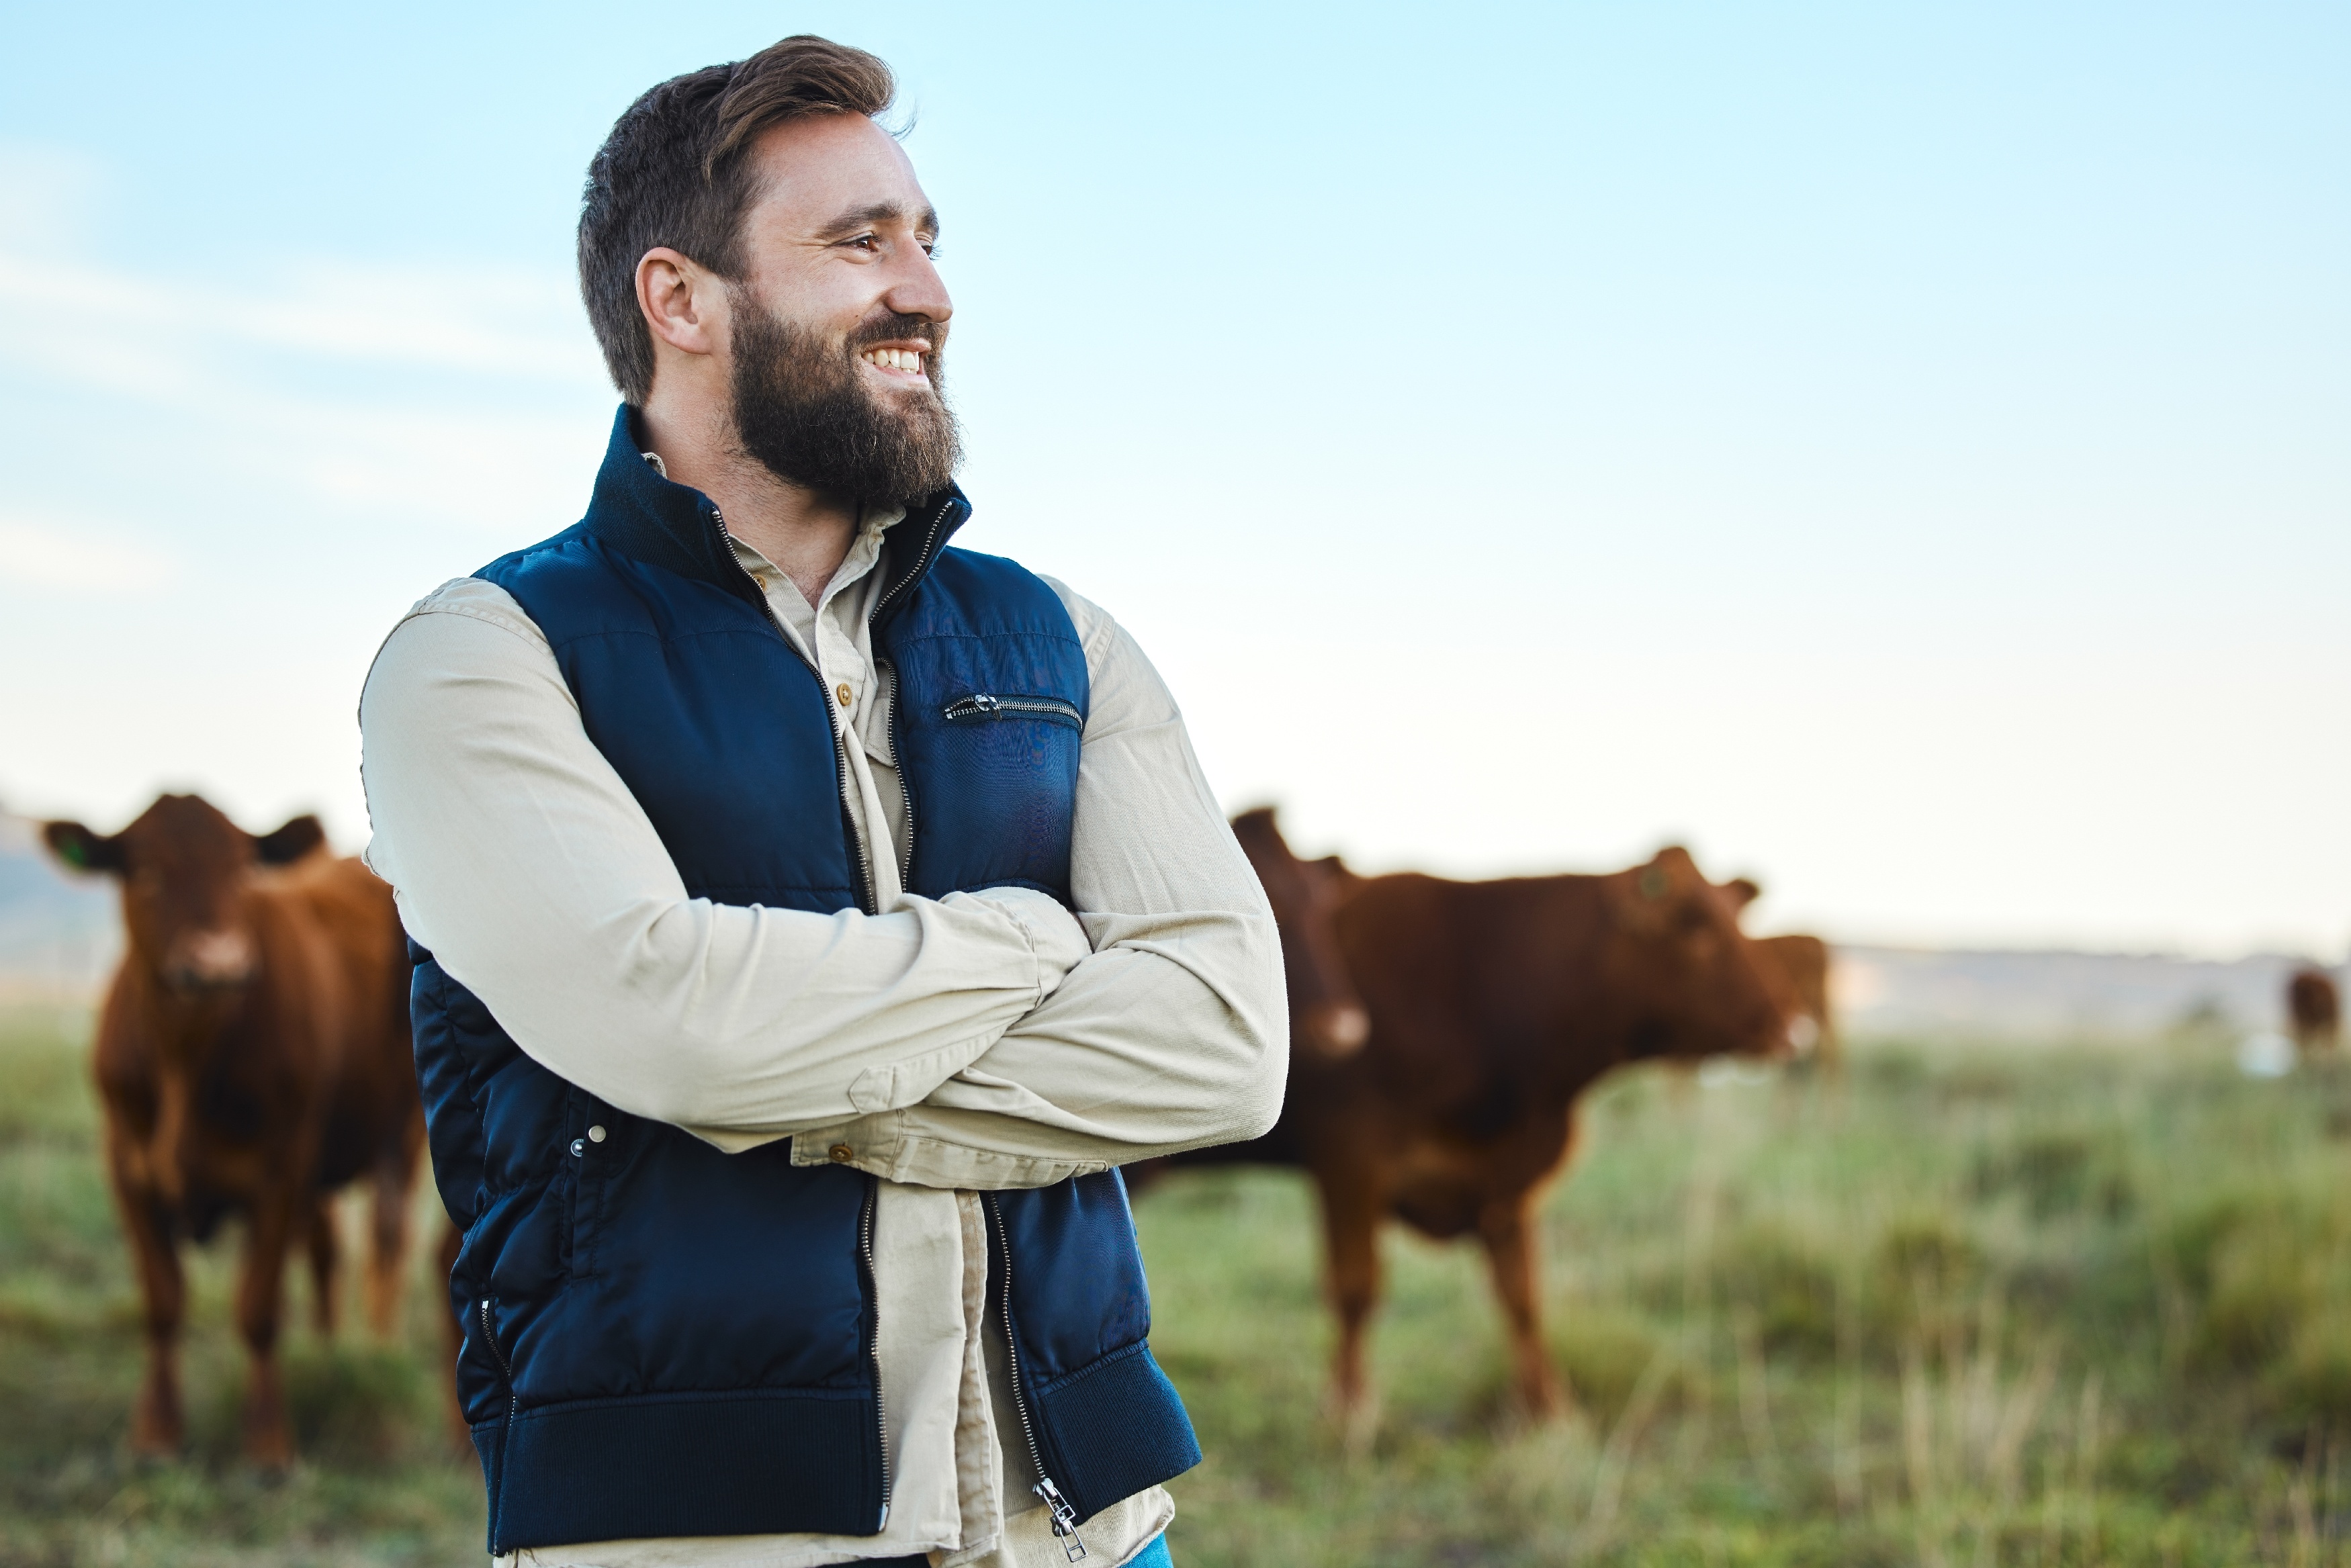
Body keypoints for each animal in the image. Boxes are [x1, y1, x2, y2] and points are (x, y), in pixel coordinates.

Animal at [46, 799, 423, 1476]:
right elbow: (163, 1302)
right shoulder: (126, 1168)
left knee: (387, 1246)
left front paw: (268, 1445)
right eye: (144, 869)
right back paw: (328, 1355)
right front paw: (155, 1435)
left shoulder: (280, 1173)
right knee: (327, 1249)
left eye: (242, 870)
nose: (217, 962)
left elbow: (259, 1308)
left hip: (400, 1133)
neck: (185, 1061)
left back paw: (380, 1370)